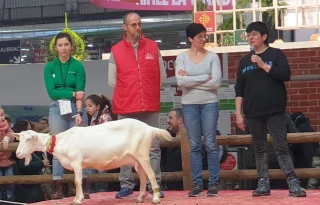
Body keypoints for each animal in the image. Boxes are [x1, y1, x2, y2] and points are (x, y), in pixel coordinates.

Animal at [13, 117, 175, 204]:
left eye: (28, 139)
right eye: (20, 139)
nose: (18, 153)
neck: (61, 142)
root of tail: (149, 128)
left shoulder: (77, 162)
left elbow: (77, 181)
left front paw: (77, 199)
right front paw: (79, 198)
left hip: (142, 154)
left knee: (151, 174)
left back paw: (155, 198)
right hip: (135, 159)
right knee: (142, 175)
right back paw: (140, 198)